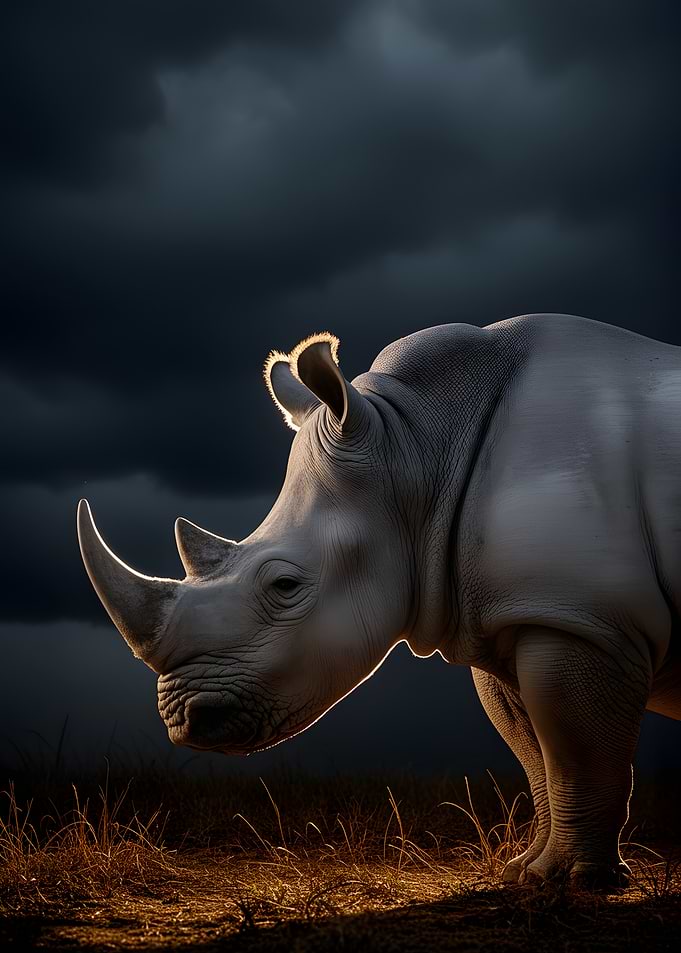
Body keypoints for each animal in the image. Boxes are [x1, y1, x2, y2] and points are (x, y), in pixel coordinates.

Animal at [77, 313, 681, 889]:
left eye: (284, 586)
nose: (184, 722)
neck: (417, 449)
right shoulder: (518, 611)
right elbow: (535, 752)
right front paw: (526, 872)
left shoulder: (585, 617)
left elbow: (577, 753)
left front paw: (579, 881)